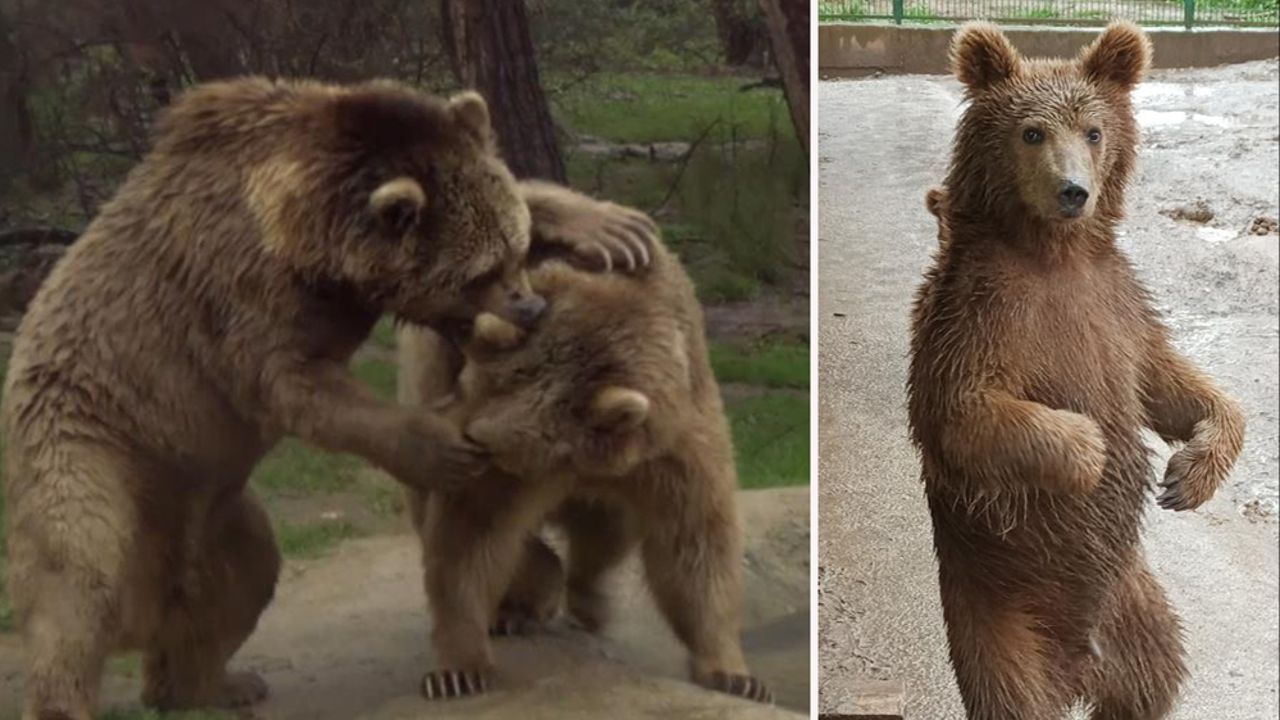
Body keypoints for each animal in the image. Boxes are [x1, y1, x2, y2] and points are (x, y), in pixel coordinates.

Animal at [0, 77, 655, 717]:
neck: (308, 238)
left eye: (516, 250)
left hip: (215, 506)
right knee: (78, 580)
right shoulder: (237, 295)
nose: (530, 307)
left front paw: (615, 229)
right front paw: (441, 446)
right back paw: (73, 694)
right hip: (96, 439)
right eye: (481, 273)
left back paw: (213, 684)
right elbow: (299, 388)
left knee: (245, 575)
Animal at [396, 234, 768, 702]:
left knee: (607, 530)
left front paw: (735, 675)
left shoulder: (672, 447)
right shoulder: (506, 471)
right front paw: (459, 670)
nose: (435, 435)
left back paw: (586, 599)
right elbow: (470, 537)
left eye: (481, 436)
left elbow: (694, 541)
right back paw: (523, 601)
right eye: (465, 382)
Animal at [911, 22, 1249, 717]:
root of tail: (1078, 665)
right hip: (996, 617)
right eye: (1031, 132)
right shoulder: (978, 314)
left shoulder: (1118, 305)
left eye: (1093, 131)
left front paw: (1187, 476)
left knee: (1153, 681)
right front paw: (1089, 452)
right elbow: (963, 410)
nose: (1073, 191)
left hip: (1136, 606)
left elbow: (1169, 385)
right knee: (1011, 696)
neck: (1054, 254)